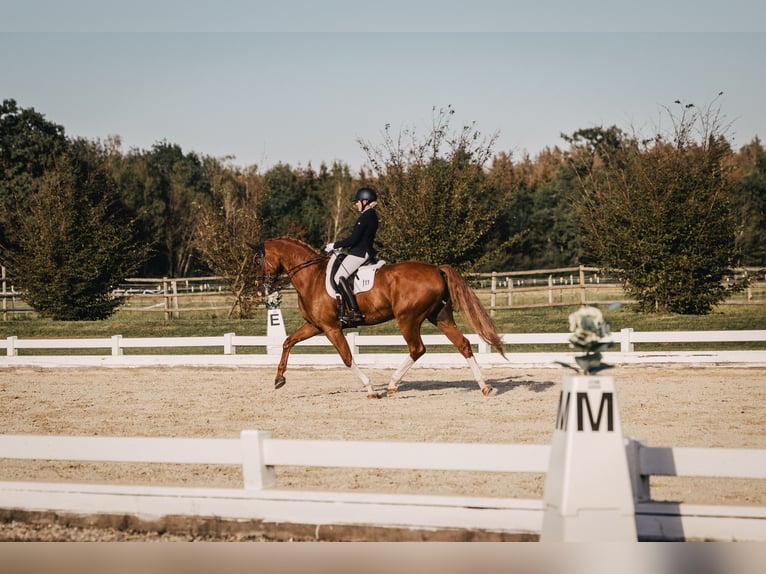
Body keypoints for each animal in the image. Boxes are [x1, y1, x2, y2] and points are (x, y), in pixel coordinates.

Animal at [249, 236, 508, 398]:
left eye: (258, 261)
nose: (262, 291)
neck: (311, 276)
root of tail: (436, 269)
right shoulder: (315, 325)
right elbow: (287, 342)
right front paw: (279, 379)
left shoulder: (331, 328)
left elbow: (346, 357)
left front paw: (370, 389)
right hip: (440, 316)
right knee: (462, 344)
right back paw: (484, 386)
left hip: (407, 318)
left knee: (417, 349)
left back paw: (392, 385)